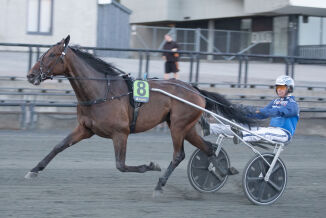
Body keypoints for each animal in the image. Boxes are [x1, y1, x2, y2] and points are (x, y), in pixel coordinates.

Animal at [26, 35, 255, 196]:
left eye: (51, 55)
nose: (30, 75)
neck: (102, 91)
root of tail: (195, 90)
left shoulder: (121, 133)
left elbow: (121, 165)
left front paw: (150, 166)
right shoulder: (85, 129)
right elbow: (59, 146)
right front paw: (35, 169)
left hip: (178, 127)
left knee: (179, 155)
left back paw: (160, 184)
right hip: (186, 128)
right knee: (209, 148)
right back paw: (223, 170)